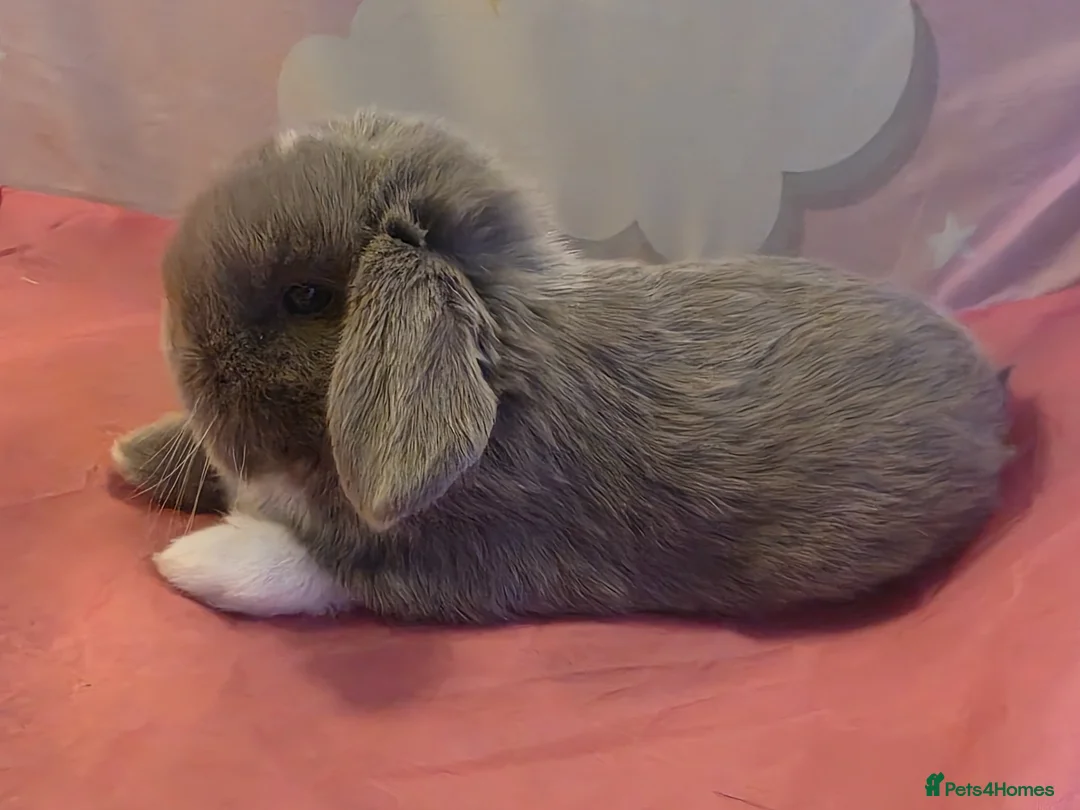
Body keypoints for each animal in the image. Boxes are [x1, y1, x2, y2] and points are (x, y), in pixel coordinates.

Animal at [110, 108, 1013, 622]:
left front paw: (191, 562)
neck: (507, 371)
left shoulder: (461, 562)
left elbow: (313, 568)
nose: (174, 347)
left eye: (305, 296)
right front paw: (128, 455)